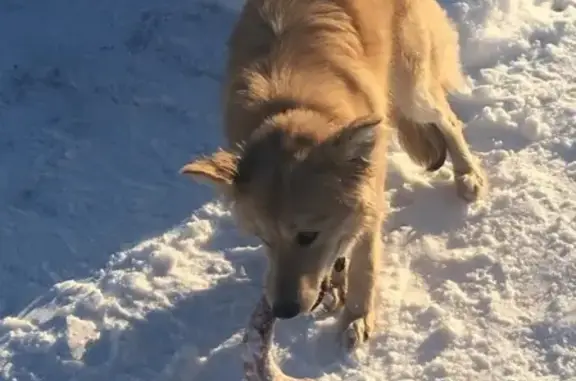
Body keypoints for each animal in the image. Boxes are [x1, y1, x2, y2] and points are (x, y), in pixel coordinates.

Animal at [180, 0, 486, 350]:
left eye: (307, 235)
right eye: (263, 239)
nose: (283, 311)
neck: (293, 108)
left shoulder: (369, 199)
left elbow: (365, 264)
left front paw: (357, 315)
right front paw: (337, 285)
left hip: (412, 87)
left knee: (447, 118)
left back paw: (467, 173)